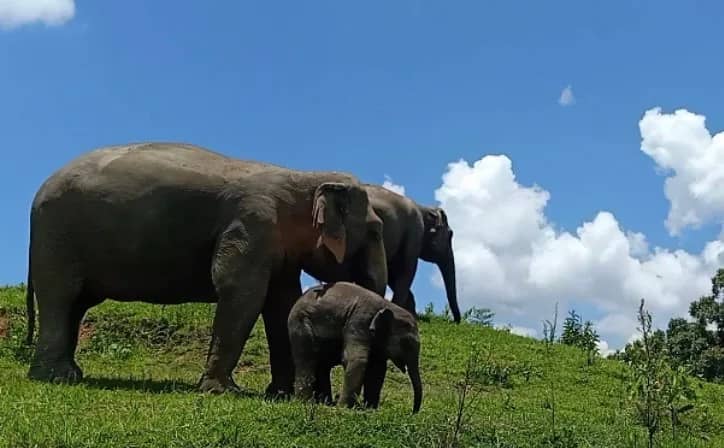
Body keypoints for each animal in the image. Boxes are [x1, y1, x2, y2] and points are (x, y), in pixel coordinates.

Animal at [23, 142, 388, 398]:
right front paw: (223, 392)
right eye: (375, 231)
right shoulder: (252, 224)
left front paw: (279, 395)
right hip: (57, 237)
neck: (302, 177)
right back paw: (55, 377)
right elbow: (241, 293)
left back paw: (70, 373)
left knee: (76, 305)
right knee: (60, 298)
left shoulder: (277, 247)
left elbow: (281, 304)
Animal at [288, 281, 422, 413]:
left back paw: (324, 403)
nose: (412, 413)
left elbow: (377, 369)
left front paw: (370, 410)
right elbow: (356, 360)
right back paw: (305, 403)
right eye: (407, 343)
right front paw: (343, 409)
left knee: (321, 366)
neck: (386, 305)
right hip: (300, 326)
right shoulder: (359, 322)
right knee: (306, 361)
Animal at [302, 184, 460, 323]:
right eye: (451, 235)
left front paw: (411, 314)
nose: (455, 321)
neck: (423, 208)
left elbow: (392, 274)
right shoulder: (414, 233)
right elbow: (406, 270)